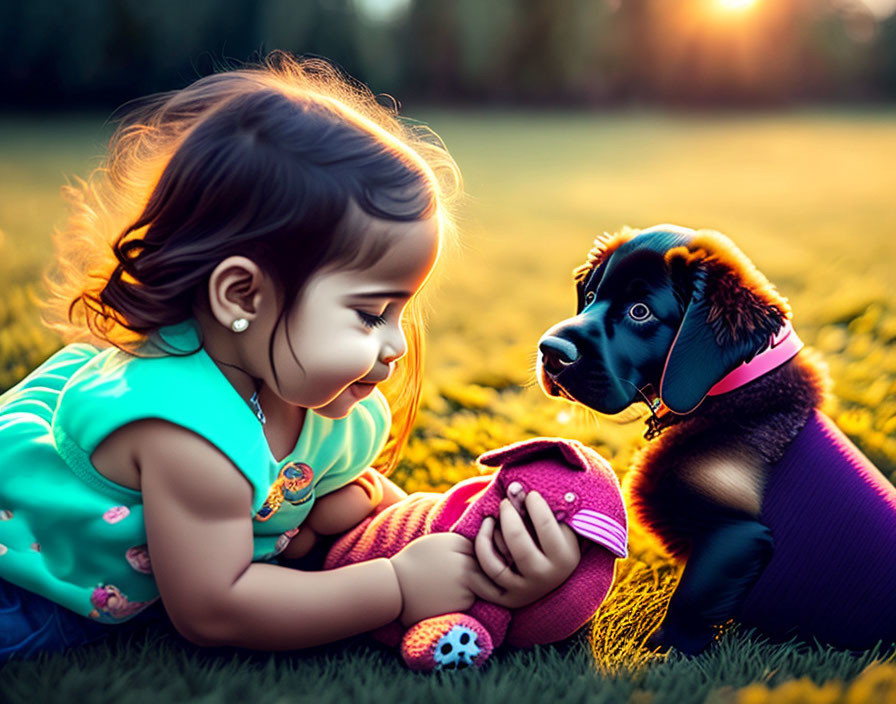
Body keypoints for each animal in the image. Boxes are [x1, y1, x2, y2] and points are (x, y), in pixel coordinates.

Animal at [540, 226, 896, 656]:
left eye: (640, 312)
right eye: (590, 296)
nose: (550, 353)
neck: (730, 395)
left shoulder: (737, 536)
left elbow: (687, 608)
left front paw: (655, 653)